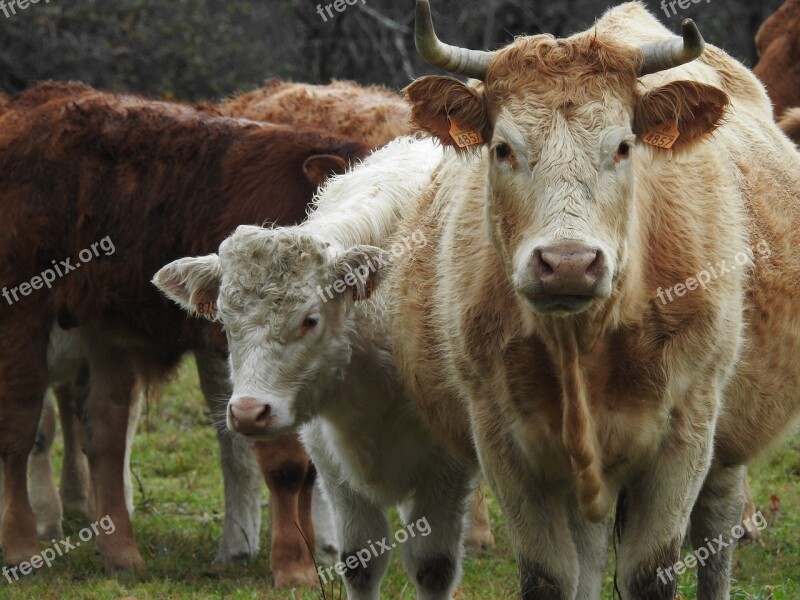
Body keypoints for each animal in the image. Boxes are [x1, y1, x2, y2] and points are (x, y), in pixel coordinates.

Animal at [0, 82, 368, 580]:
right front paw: (293, 565)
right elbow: (287, 462)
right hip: (24, 310)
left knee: (104, 432)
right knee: (21, 428)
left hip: (103, 328)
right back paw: (22, 543)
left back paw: (121, 552)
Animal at [384, 1, 796, 600]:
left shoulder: (686, 435)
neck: (583, 341)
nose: (568, 263)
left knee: (717, 531)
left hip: (725, 445)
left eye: (623, 146)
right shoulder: (503, 442)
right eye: (503, 148)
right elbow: (552, 575)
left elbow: (652, 572)